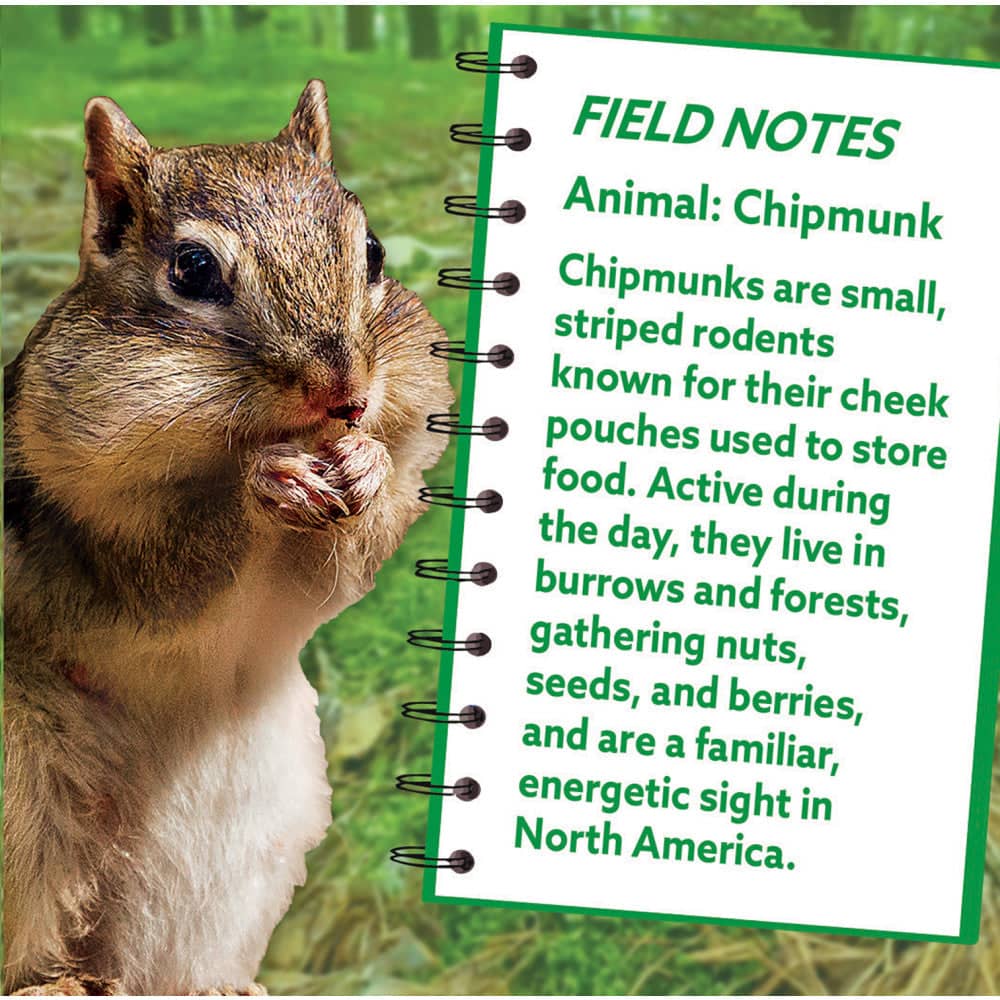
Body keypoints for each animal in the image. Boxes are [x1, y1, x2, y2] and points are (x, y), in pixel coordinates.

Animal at [3, 80, 452, 995]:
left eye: (374, 251)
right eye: (193, 270)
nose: (346, 396)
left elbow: (345, 570)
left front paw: (364, 463)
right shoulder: (87, 539)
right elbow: (164, 578)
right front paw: (265, 480)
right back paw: (51, 978)